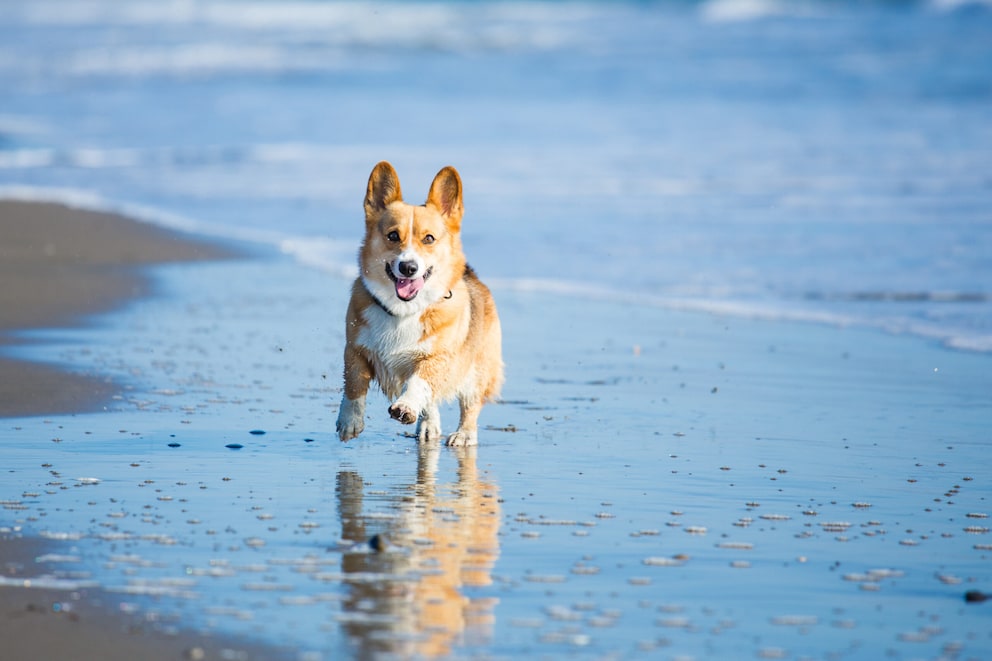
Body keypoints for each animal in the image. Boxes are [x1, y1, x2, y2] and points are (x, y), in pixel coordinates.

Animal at [338, 162, 504, 446]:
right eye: (393, 236)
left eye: (428, 239)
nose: (408, 267)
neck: (402, 311)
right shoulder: (355, 350)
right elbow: (354, 385)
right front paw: (349, 422)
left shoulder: (438, 358)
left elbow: (419, 383)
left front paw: (405, 406)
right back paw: (429, 425)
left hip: (477, 370)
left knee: (470, 405)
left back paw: (463, 435)